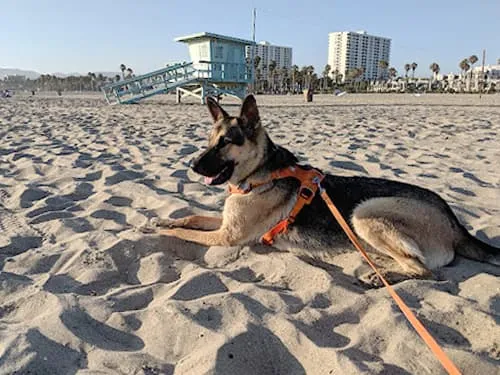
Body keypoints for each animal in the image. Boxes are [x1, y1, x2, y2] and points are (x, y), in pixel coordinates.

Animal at [144, 95, 496, 286]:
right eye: (207, 141)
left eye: (225, 143)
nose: (191, 165)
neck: (261, 173)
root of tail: (455, 223)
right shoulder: (224, 223)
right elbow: (191, 217)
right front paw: (162, 221)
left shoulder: (227, 236)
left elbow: (185, 233)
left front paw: (162, 232)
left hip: (365, 213)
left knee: (426, 272)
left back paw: (381, 277)